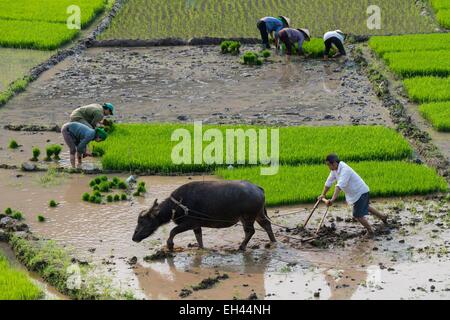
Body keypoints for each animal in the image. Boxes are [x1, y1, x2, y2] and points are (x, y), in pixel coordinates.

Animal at [132, 180, 276, 250]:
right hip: (258, 214)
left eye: (142, 222)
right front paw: (201, 248)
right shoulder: (196, 225)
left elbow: (173, 231)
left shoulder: (189, 223)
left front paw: (170, 245)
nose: (134, 238)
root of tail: (258, 188)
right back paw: (273, 241)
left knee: (250, 231)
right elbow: (199, 237)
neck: (178, 204)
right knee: (266, 224)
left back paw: (241, 247)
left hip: (248, 217)